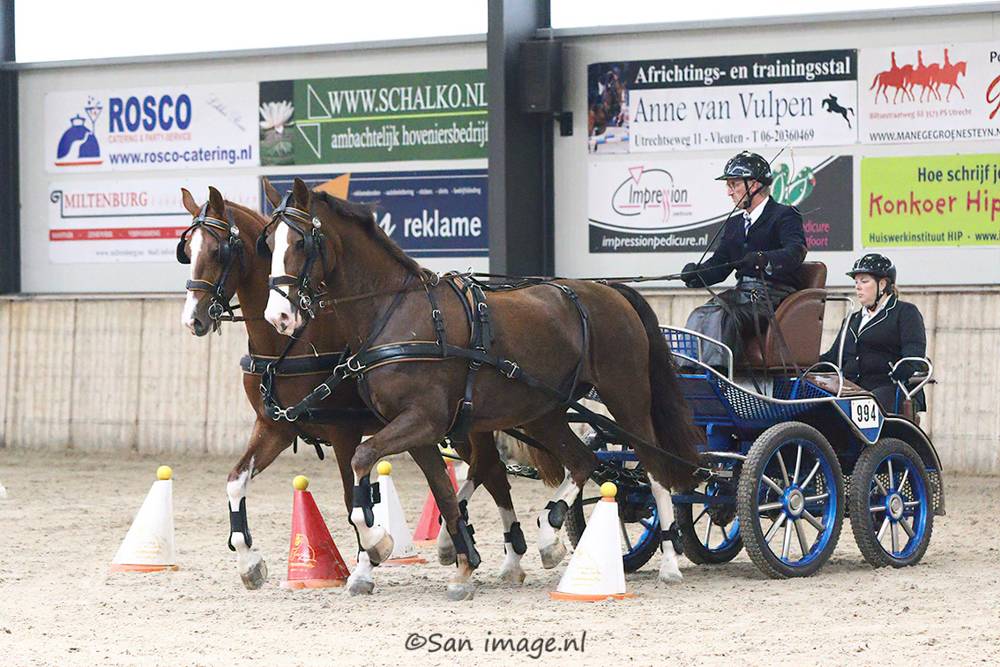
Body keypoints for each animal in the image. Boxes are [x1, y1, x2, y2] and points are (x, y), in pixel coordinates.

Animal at [177, 186, 545, 597]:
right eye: (187, 250)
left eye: (218, 250)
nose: (193, 319)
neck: (289, 344)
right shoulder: (276, 427)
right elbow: (235, 481)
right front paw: (249, 562)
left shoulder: (344, 430)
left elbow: (352, 495)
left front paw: (370, 557)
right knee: (490, 471)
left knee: (492, 471)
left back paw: (506, 553)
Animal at [261, 178, 702, 591]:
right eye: (268, 243)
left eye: (299, 241)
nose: (277, 316)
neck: (396, 312)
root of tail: (610, 289)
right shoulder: (419, 432)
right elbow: (443, 492)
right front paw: (456, 564)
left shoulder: (423, 420)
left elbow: (362, 460)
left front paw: (381, 545)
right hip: (544, 412)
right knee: (582, 462)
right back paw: (549, 536)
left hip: (627, 398)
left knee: (655, 469)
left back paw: (668, 560)